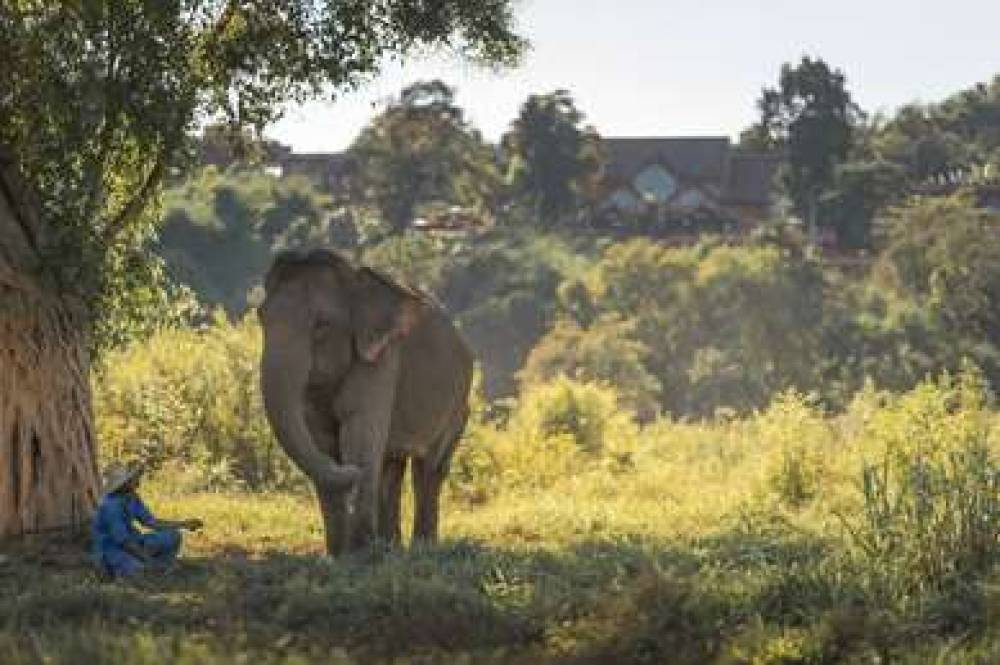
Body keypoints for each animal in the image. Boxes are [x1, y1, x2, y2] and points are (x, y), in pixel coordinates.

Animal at [258, 246, 476, 552]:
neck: (354, 281)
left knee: (429, 468)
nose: (349, 469)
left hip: (458, 406)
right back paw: (392, 546)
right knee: (392, 467)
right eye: (260, 318)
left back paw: (422, 547)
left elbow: (359, 432)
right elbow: (320, 440)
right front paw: (339, 554)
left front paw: (360, 551)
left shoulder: (382, 360)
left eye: (321, 326)